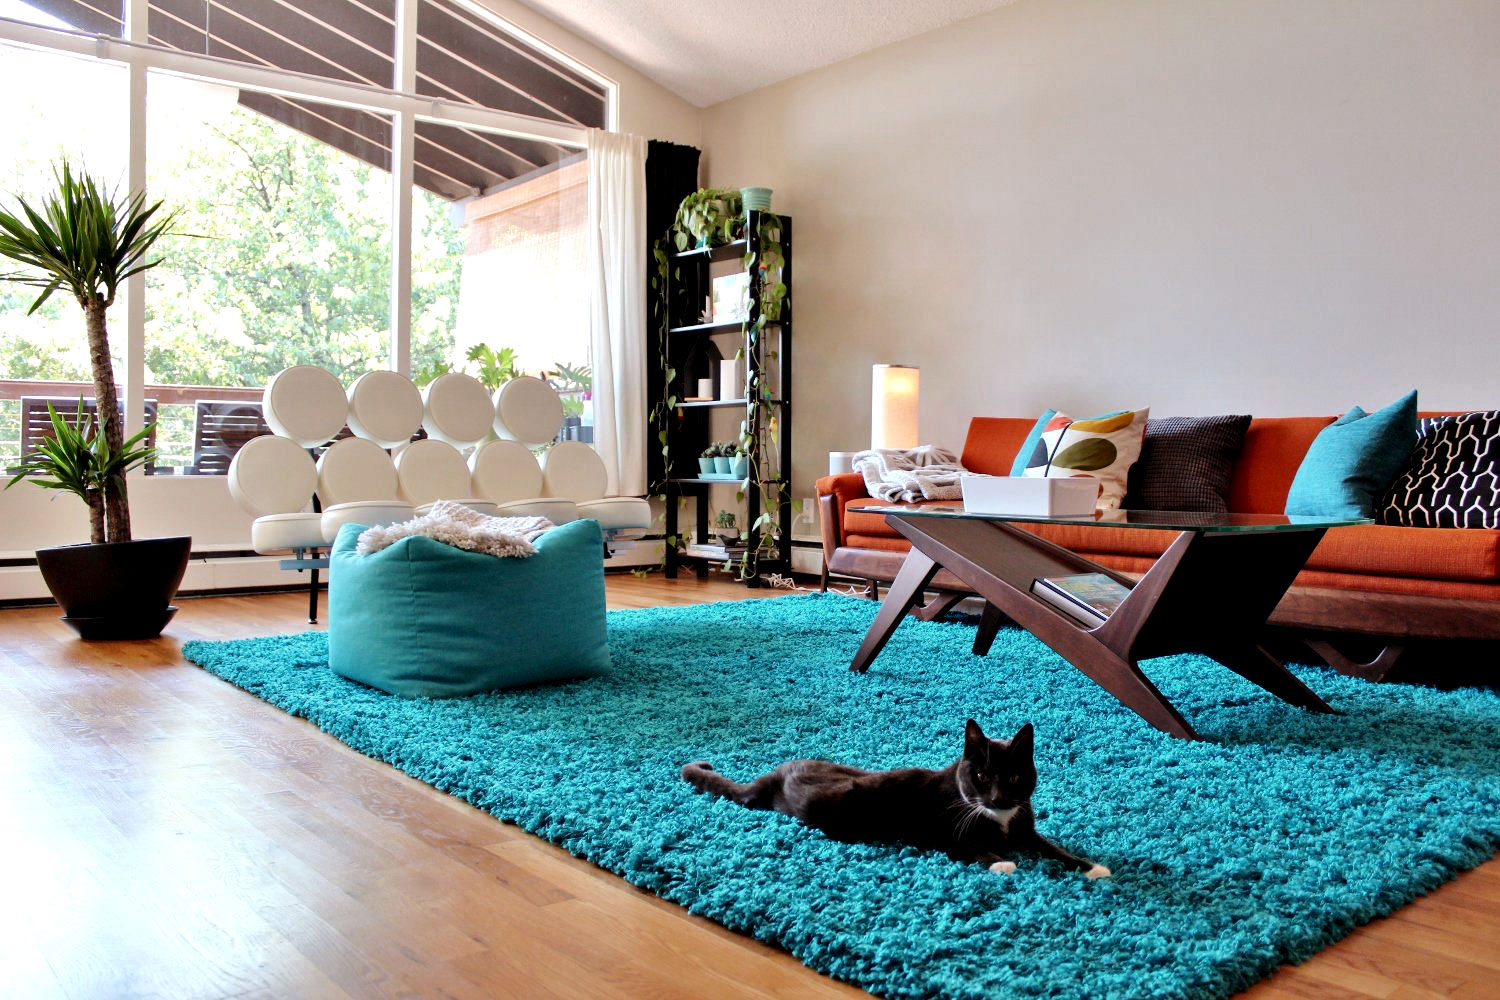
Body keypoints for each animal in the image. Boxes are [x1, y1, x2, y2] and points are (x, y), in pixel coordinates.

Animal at [687, 719, 1110, 875]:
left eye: (1015, 777)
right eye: (982, 776)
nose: (997, 798)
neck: (1000, 820)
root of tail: (776, 776)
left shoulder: (1026, 828)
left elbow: (1053, 848)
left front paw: (1091, 867)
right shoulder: (949, 834)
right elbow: (975, 849)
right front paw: (1003, 864)